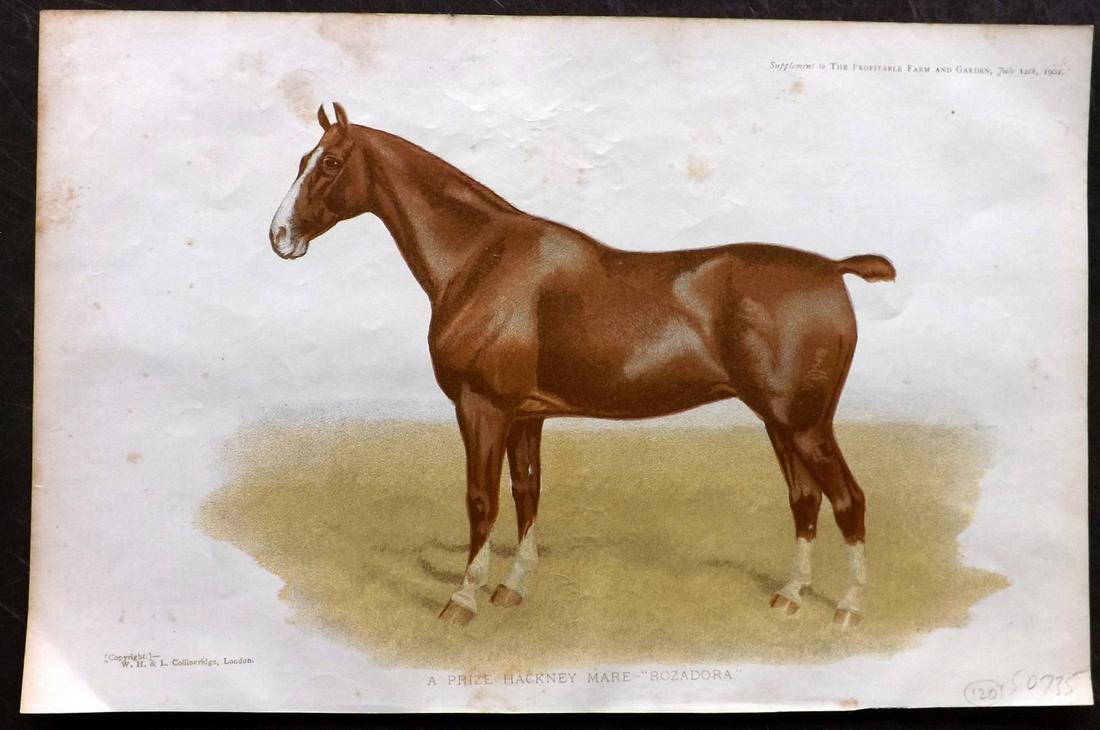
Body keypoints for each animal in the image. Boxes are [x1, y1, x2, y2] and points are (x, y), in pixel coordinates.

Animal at [269, 102, 895, 630]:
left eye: (329, 163)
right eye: (301, 160)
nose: (279, 235)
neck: (480, 260)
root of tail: (833, 269)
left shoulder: (482, 409)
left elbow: (481, 500)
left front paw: (464, 599)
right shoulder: (525, 417)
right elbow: (526, 493)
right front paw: (512, 588)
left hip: (805, 424)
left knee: (849, 501)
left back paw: (847, 610)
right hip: (780, 422)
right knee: (805, 500)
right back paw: (790, 597)